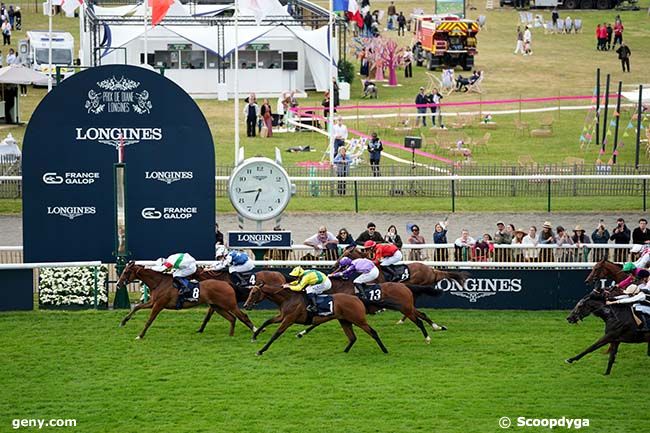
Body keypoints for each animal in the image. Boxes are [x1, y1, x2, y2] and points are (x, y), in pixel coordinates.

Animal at [115, 260, 256, 338]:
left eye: (126, 272)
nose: (118, 284)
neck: (158, 282)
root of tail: (227, 284)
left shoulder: (159, 304)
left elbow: (149, 320)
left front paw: (140, 335)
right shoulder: (152, 302)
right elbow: (137, 307)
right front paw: (123, 322)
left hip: (229, 304)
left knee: (242, 316)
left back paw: (255, 330)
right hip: (217, 306)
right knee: (232, 318)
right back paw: (230, 335)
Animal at [242, 274, 384, 354]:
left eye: (254, 293)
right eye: (250, 292)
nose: (245, 305)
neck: (289, 298)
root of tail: (357, 298)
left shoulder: (289, 319)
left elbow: (276, 334)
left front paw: (261, 351)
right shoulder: (282, 316)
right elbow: (267, 321)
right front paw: (254, 336)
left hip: (359, 320)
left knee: (373, 332)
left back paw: (384, 350)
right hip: (344, 320)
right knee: (352, 337)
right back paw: (345, 351)